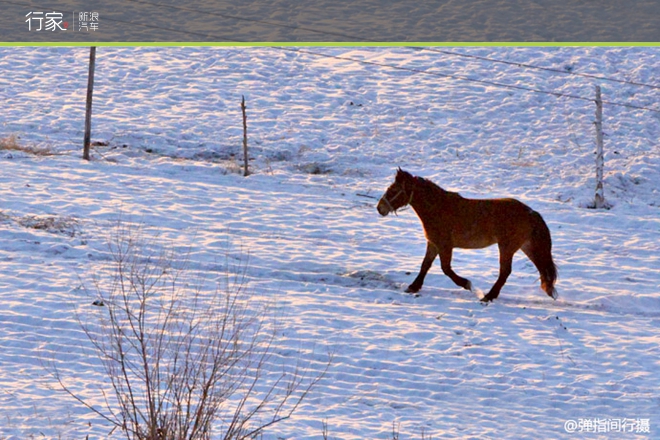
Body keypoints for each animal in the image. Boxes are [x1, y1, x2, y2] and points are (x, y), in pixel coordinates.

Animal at [376, 168, 556, 302]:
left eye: (394, 190)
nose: (380, 208)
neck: (438, 209)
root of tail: (530, 212)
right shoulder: (433, 244)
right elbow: (425, 265)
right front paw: (413, 287)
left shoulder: (445, 245)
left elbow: (446, 269)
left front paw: (467, 284)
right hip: (526, 246)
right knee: (540, 267)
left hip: (507, 247)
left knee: (505, 272)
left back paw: (488, 296)